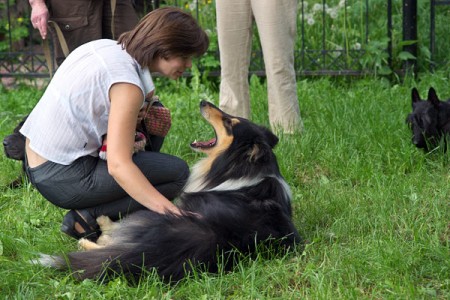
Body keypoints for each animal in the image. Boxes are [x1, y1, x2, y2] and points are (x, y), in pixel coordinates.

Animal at [37, 102, 298, 282]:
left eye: (230, 122)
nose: (203, 101)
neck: (243, 171)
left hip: (156, 216)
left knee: (111, 248)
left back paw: (92, 234)